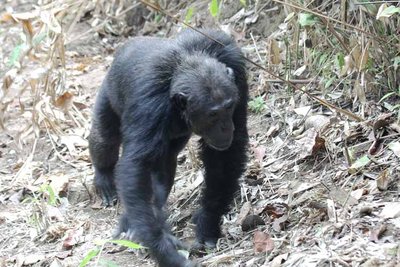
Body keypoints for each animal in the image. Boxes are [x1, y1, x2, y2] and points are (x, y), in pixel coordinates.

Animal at [89, 28, 248, 266]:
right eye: (213, 114)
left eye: (228, 107)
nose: (225, 127)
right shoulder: (149, 102)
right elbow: (136, 166)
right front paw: (164, 250)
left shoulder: (236, 70)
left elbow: (226, 156)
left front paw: (208, 223)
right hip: (106, 95)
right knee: (104, 138)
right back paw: (104, 178)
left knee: (165, 162)